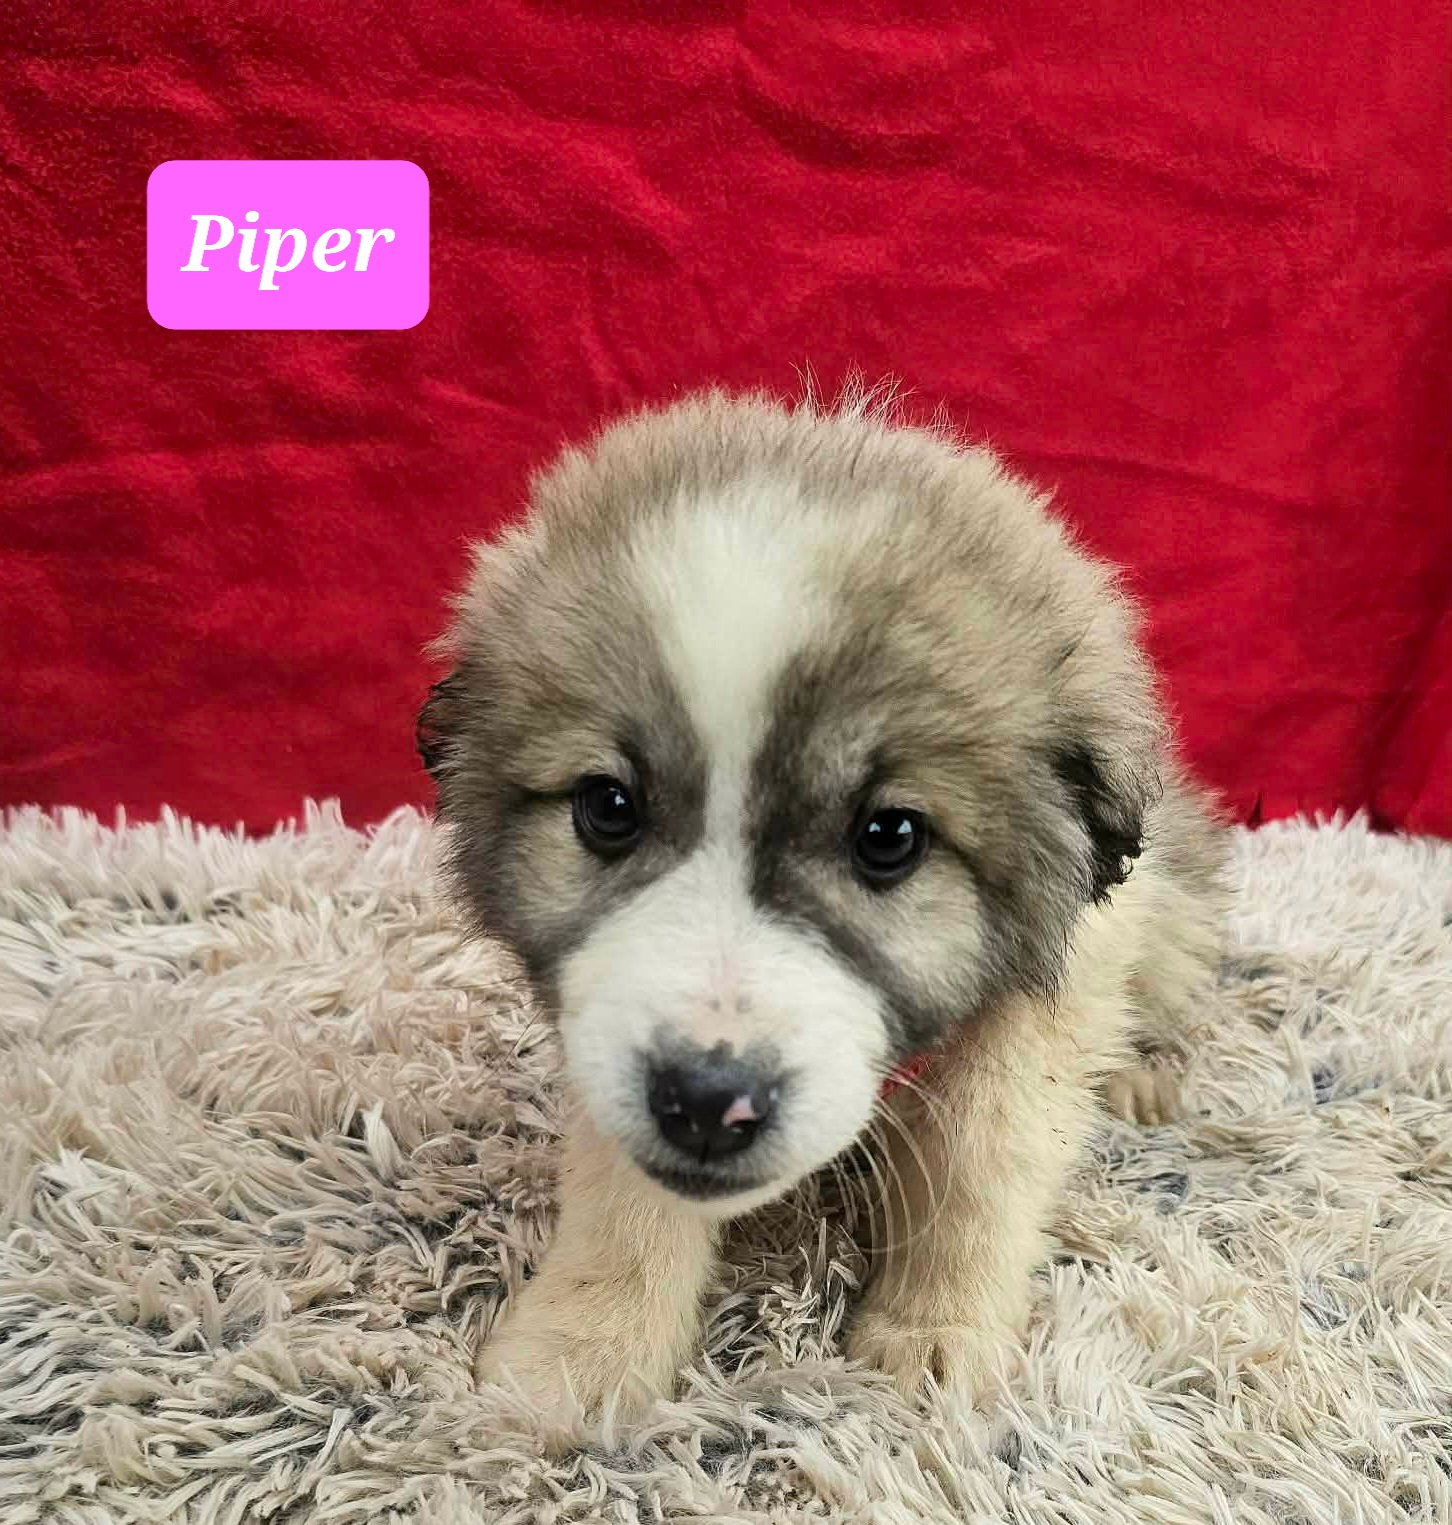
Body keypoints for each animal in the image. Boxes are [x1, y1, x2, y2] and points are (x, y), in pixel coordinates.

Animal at [419, 387, 1226, 1415]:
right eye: (608, 808)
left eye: (889, 837)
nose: (705, 1102)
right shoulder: (601, 1022)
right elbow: (625, 1194)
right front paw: (582, 1347)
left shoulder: (1047, 995)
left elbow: (978, 1163)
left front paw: (935, 1330)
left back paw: (1138, 1072)